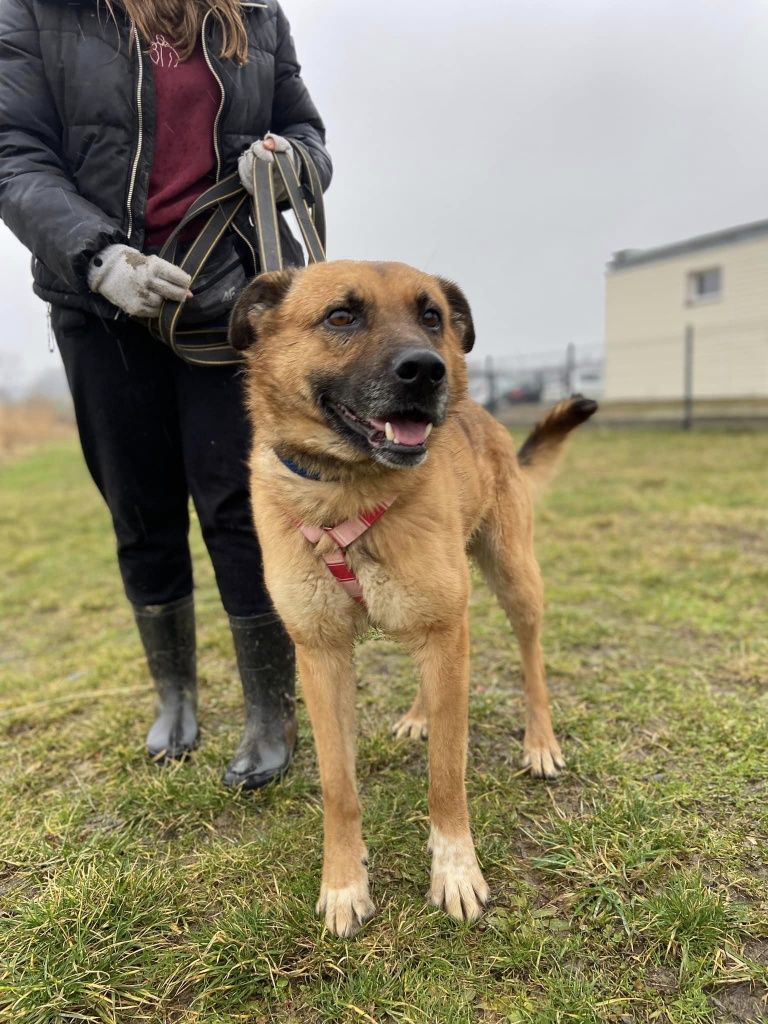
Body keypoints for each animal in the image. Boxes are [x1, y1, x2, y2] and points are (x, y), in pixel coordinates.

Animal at [231, 262, 598, 937]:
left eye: (432, 317)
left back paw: (539, 742)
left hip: (514, 581)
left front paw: (455, 872)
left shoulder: (445, 632)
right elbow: (338, 785)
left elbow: (446, 776)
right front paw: (344, 882)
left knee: (532, 663)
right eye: (341, 316)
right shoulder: (322, 654)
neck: (348, 492)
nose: (427, 370)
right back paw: (421, 714)